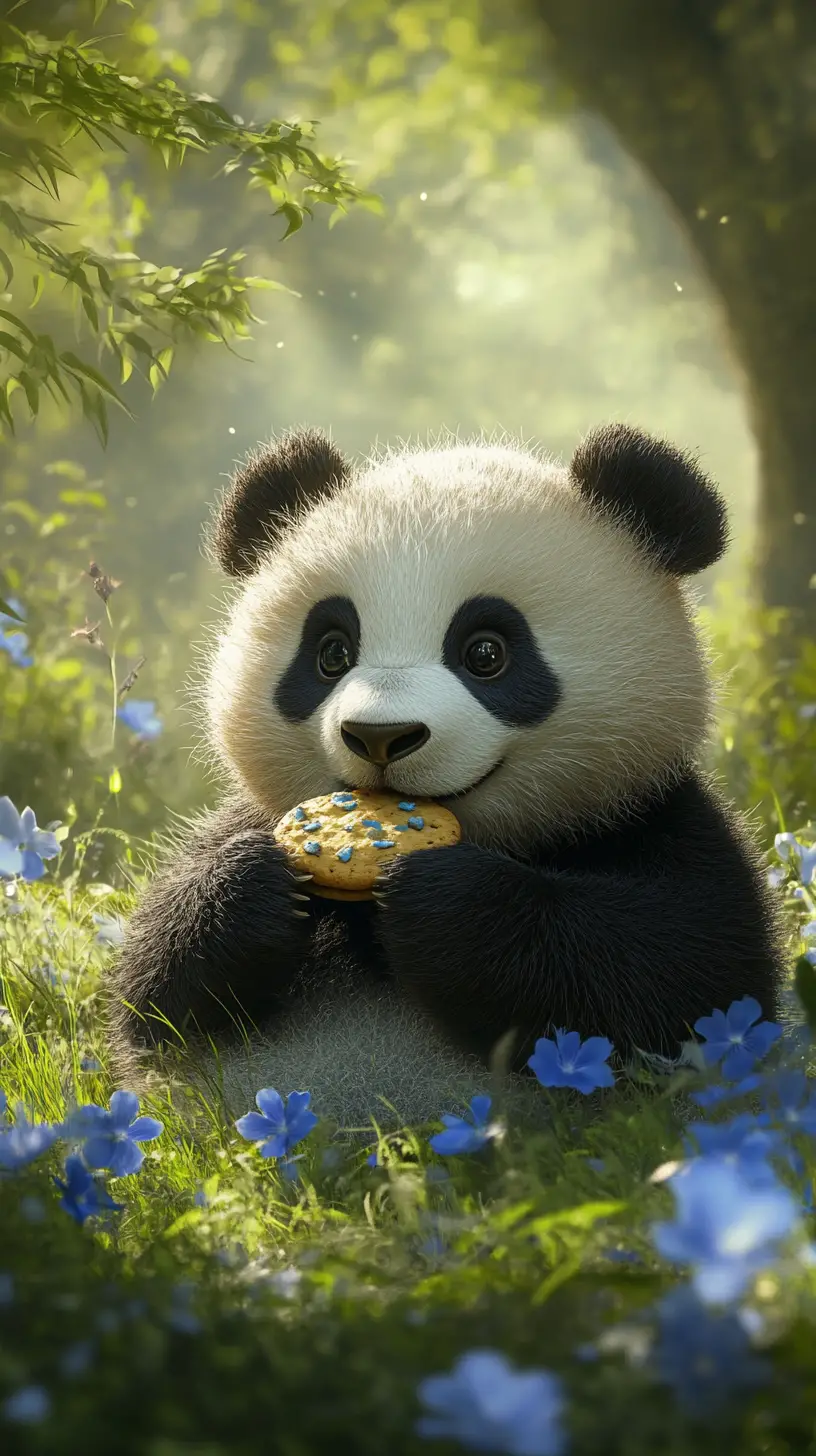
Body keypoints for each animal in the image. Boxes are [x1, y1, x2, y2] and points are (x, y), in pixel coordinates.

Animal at [108, 423, 781, 1126]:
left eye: (486, 652)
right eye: (331, 653)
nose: (379, 736)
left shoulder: (655, 815)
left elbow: (689, 972)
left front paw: (441, 902)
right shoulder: (248, 823)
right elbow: (153, 1001)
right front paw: (253, 884)